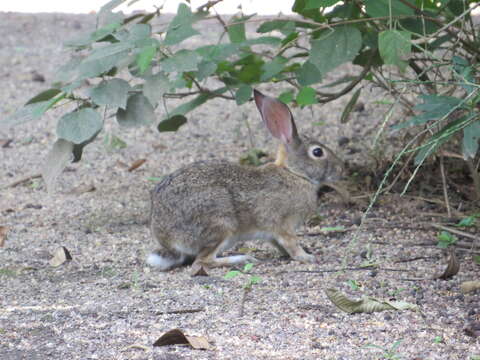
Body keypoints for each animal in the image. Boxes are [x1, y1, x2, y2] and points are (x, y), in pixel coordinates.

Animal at [148, 89, 344, 270]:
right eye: (317, 152)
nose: (341, 169)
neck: (294, 173)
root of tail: (167, 237)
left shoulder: (272, 233)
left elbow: (278, 244)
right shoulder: (283, 225)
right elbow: (291, 244)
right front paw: (306, 257)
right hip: (220, 224)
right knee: (203, 260)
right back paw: (243, 258)